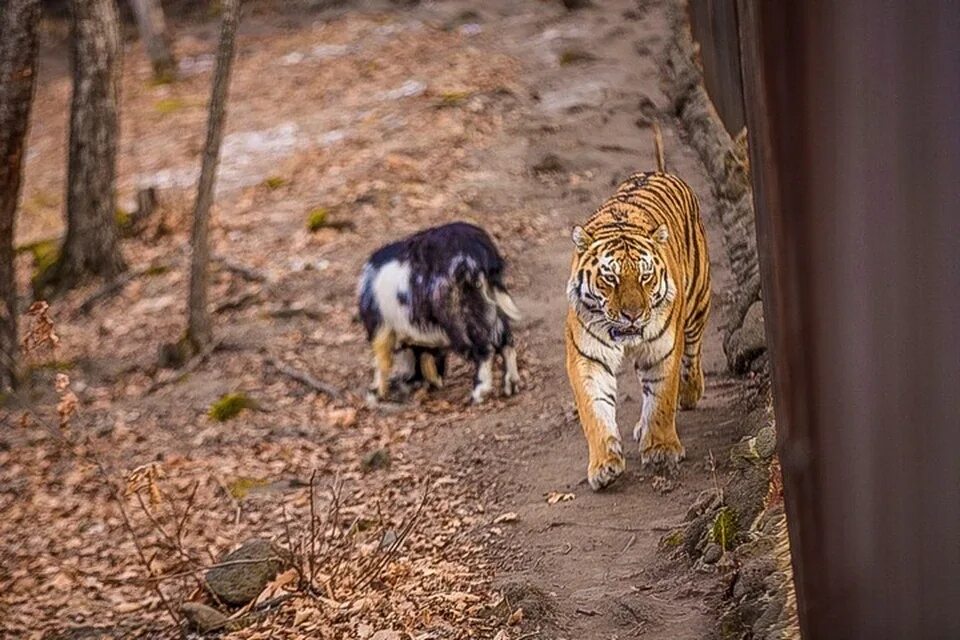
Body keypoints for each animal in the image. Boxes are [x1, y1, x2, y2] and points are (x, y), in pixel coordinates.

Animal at [358, 224, 520, 404]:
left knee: (484, 349)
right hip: (491, 307)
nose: (406, 382)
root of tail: (476, 249)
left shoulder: (380, 328)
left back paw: (477, 395)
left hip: (457, 317)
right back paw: (511, 386)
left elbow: (382, 359)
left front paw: (376, 393)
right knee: (506, 341)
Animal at [568, 126, 708, 490]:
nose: (632, 315)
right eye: (610, 278)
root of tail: (658, 170)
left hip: (698, 303)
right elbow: (595, 411)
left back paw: (690, 393)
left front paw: (661, 449)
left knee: (692, 355)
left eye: (645, 277)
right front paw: (604, 464)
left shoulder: (663, 349)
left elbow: (661, 399)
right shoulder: (588, 357)